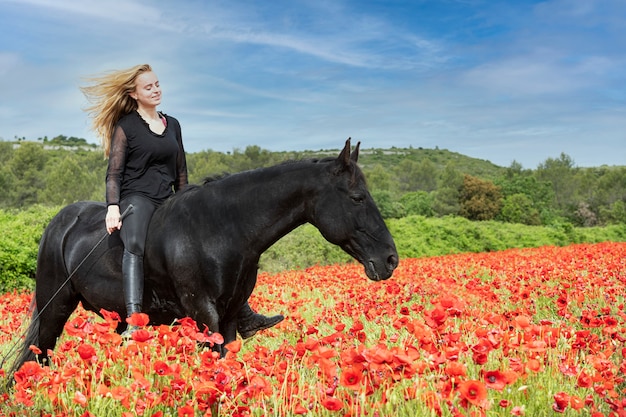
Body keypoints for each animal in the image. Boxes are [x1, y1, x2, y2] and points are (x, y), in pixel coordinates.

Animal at [11, 140, 394, 374]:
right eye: (358, 197)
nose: (390, 259)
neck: (223, 228)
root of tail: (59, 224)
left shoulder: (228, 316)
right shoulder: (203, 314)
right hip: (54, 308)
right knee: (37, 359)